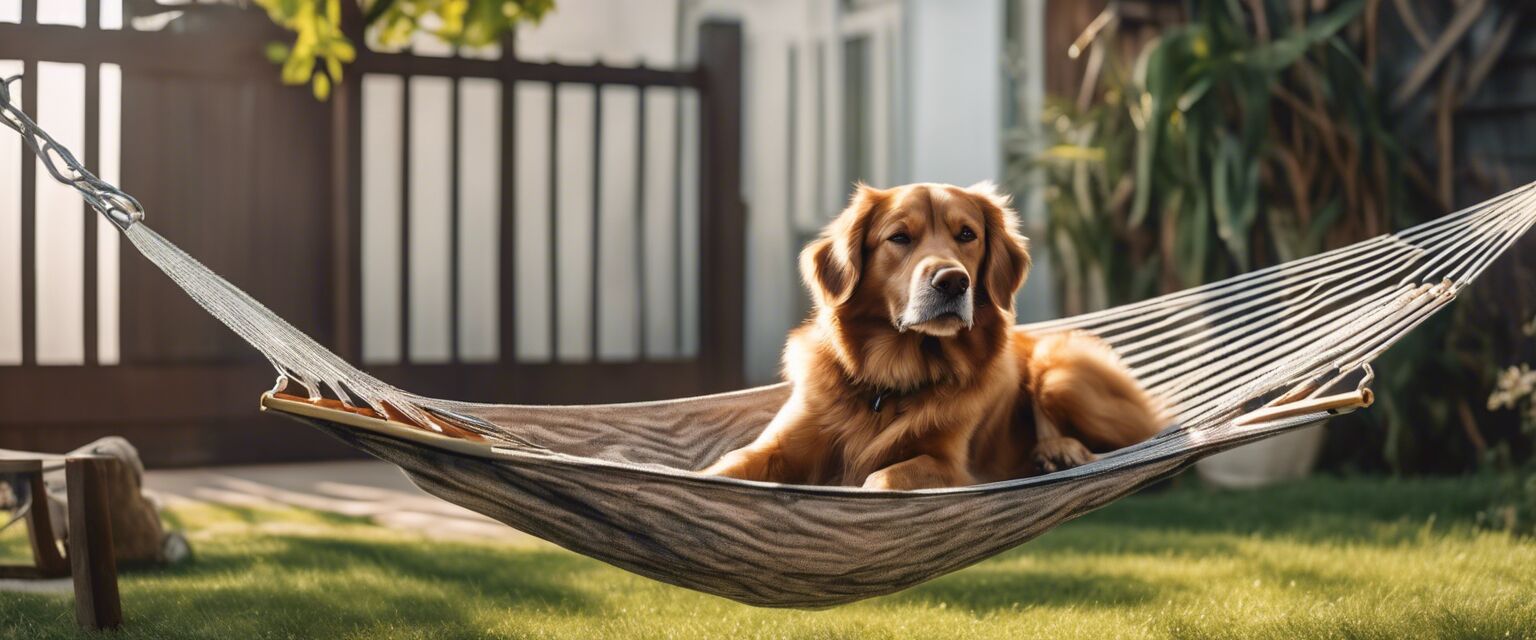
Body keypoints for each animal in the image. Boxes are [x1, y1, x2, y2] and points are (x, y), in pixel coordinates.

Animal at [703, 181, 1155, 484]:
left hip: (1058, 370)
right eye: (900, 237)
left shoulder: (951, 466)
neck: (891, 379)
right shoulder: (777, 446)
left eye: (967, 234)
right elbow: (728, 466)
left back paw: (1059, 450)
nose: (953, 282)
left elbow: (883, 476)